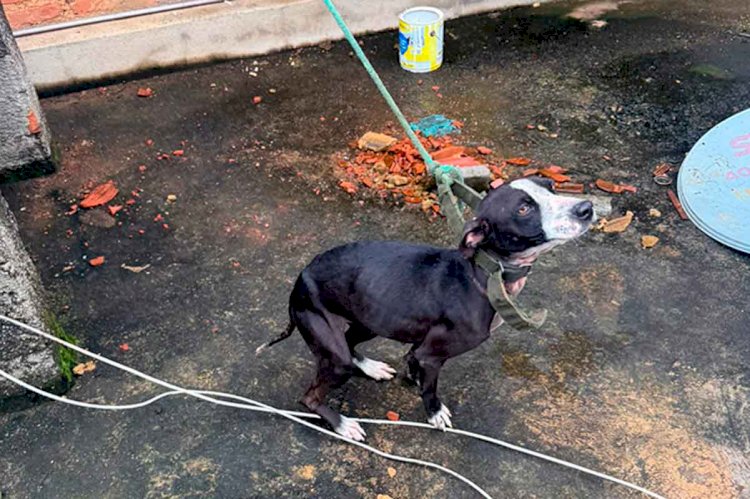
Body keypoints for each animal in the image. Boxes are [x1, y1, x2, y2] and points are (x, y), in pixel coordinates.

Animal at [262, 179, 596, 442]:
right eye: (524, 209)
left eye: (550, 186)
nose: (587, 208)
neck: (485, 274)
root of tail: (300, 280)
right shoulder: (432, 355)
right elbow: (431, 389)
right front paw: (434, 412)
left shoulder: (420, 345)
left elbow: (413, 361)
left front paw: (412, 376)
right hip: (334, 354)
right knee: (310, 396)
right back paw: (343, 424)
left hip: (369, 319)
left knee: (350, 341)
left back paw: (371, 367)